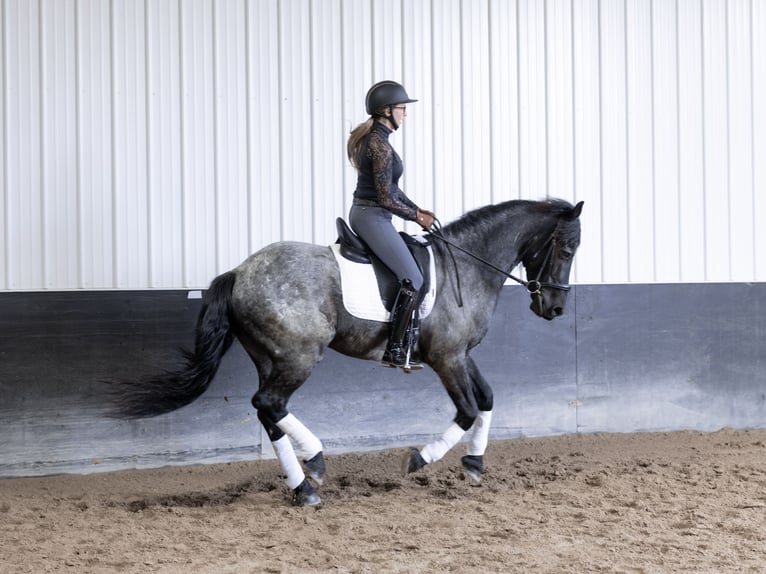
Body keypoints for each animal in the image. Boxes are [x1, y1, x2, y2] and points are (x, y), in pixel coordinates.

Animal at [111, 198, 583, 506]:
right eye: (567, 247)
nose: (556, 308)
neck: (467, 269)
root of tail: (240, 272)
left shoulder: (462, 354)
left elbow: (486, 399)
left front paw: (474, 463)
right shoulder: (447, 358)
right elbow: (467, 409)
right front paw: (419, 459)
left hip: (270, 356)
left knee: (268, 411)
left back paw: (303, 488)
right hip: (300, 354)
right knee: (270, 403)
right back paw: (315, 465)